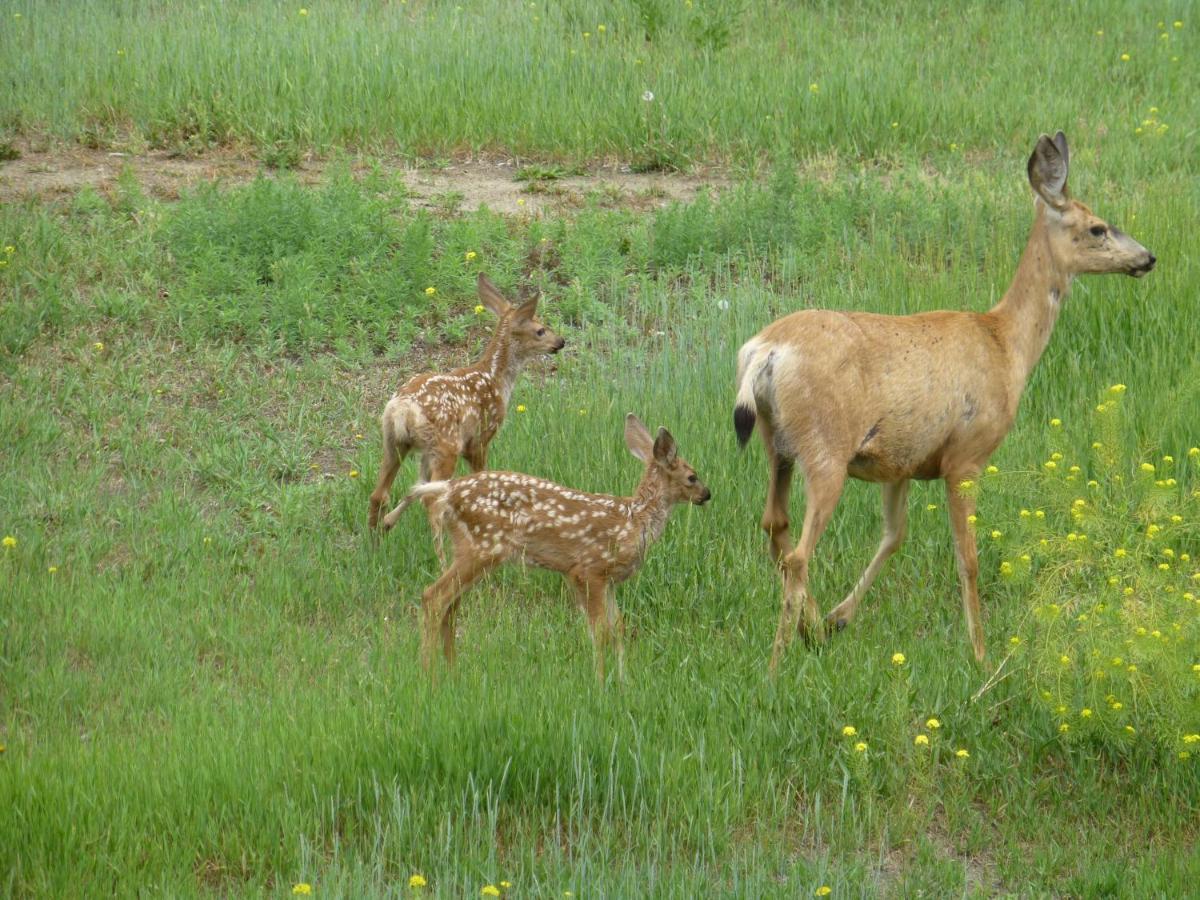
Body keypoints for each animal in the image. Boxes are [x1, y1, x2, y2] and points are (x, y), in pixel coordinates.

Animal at [364, 271, 566, 532]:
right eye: (541, 330)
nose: (560, 341)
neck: (494, 378)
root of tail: (403, 409)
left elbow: (415, 486)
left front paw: (389, 522)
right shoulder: (480, 437)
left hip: (394, 441)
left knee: (379, 494)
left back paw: (376, 536)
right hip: (445, 444)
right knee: (431, 498)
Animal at [379, 415, 705, 681]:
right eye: (692, 476)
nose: (708, 494)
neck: (634, 521)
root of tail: (447, 489)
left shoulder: (608, 580)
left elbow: (619, 629)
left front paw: (624, 682)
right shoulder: (588, 570)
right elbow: (600, 632)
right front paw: (601, 683)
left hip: (467, 548)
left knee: (450, 603)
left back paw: (451, 671)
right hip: (481, 547)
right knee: (434, 597)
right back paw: (429, 675)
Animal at [734, 132, 1156, 672]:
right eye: (1097, 227)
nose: (1147, 257)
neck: (1005, 345)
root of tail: (764, 351)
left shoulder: (900, 462)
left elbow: (895, 536)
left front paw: (836, 618)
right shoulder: (966, 457)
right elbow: (968, 559)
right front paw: (982, 655)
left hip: (777, 444)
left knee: (775, 525)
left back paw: (809, 629)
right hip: (825, 449)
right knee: (799, 552)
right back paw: (777, 663)